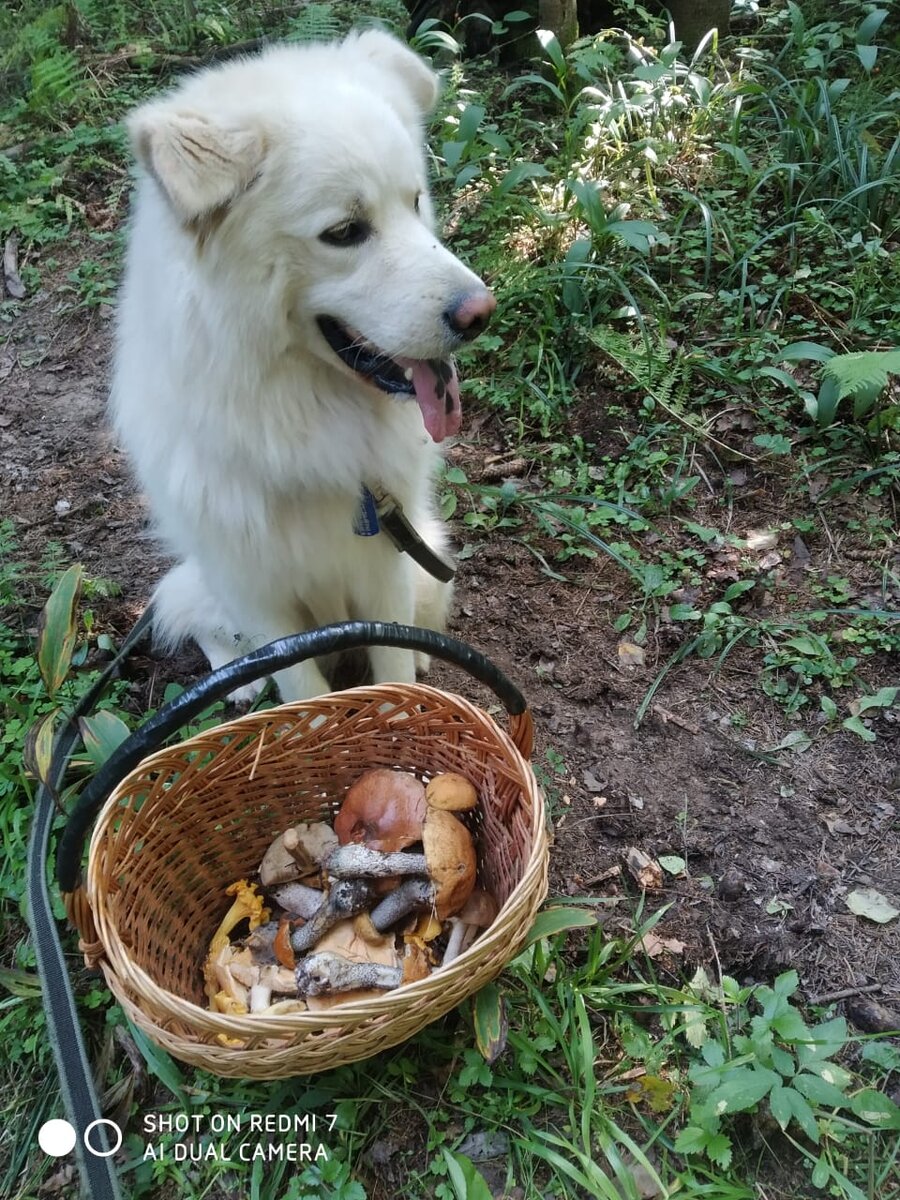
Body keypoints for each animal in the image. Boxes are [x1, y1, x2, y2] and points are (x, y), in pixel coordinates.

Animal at [112, 32, 496, 700]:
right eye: (344, 232)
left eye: (415, 201)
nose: (480, 313)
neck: (300, 422)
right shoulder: (257, 595)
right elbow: (301, 691)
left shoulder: (386, 567)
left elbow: (394, 666)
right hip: (210, 585)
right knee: (197, 621)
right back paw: (237, 684)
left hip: (428, 559)